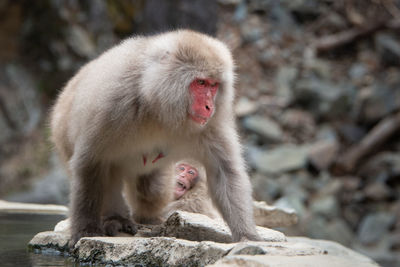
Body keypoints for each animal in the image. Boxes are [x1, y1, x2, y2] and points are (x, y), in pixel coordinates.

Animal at [50, 29, 260, 247]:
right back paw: (115, 218)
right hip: (62, 135)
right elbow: (90, 163)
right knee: (106, 172)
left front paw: (247, 237)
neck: (158, 106)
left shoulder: (211, 124)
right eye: (201, 82)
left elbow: (224, 171)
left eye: (214, 85)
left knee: (152, 188)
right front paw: (85, 230)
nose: (209, 106)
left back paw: (147, 218)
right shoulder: (111, 104)